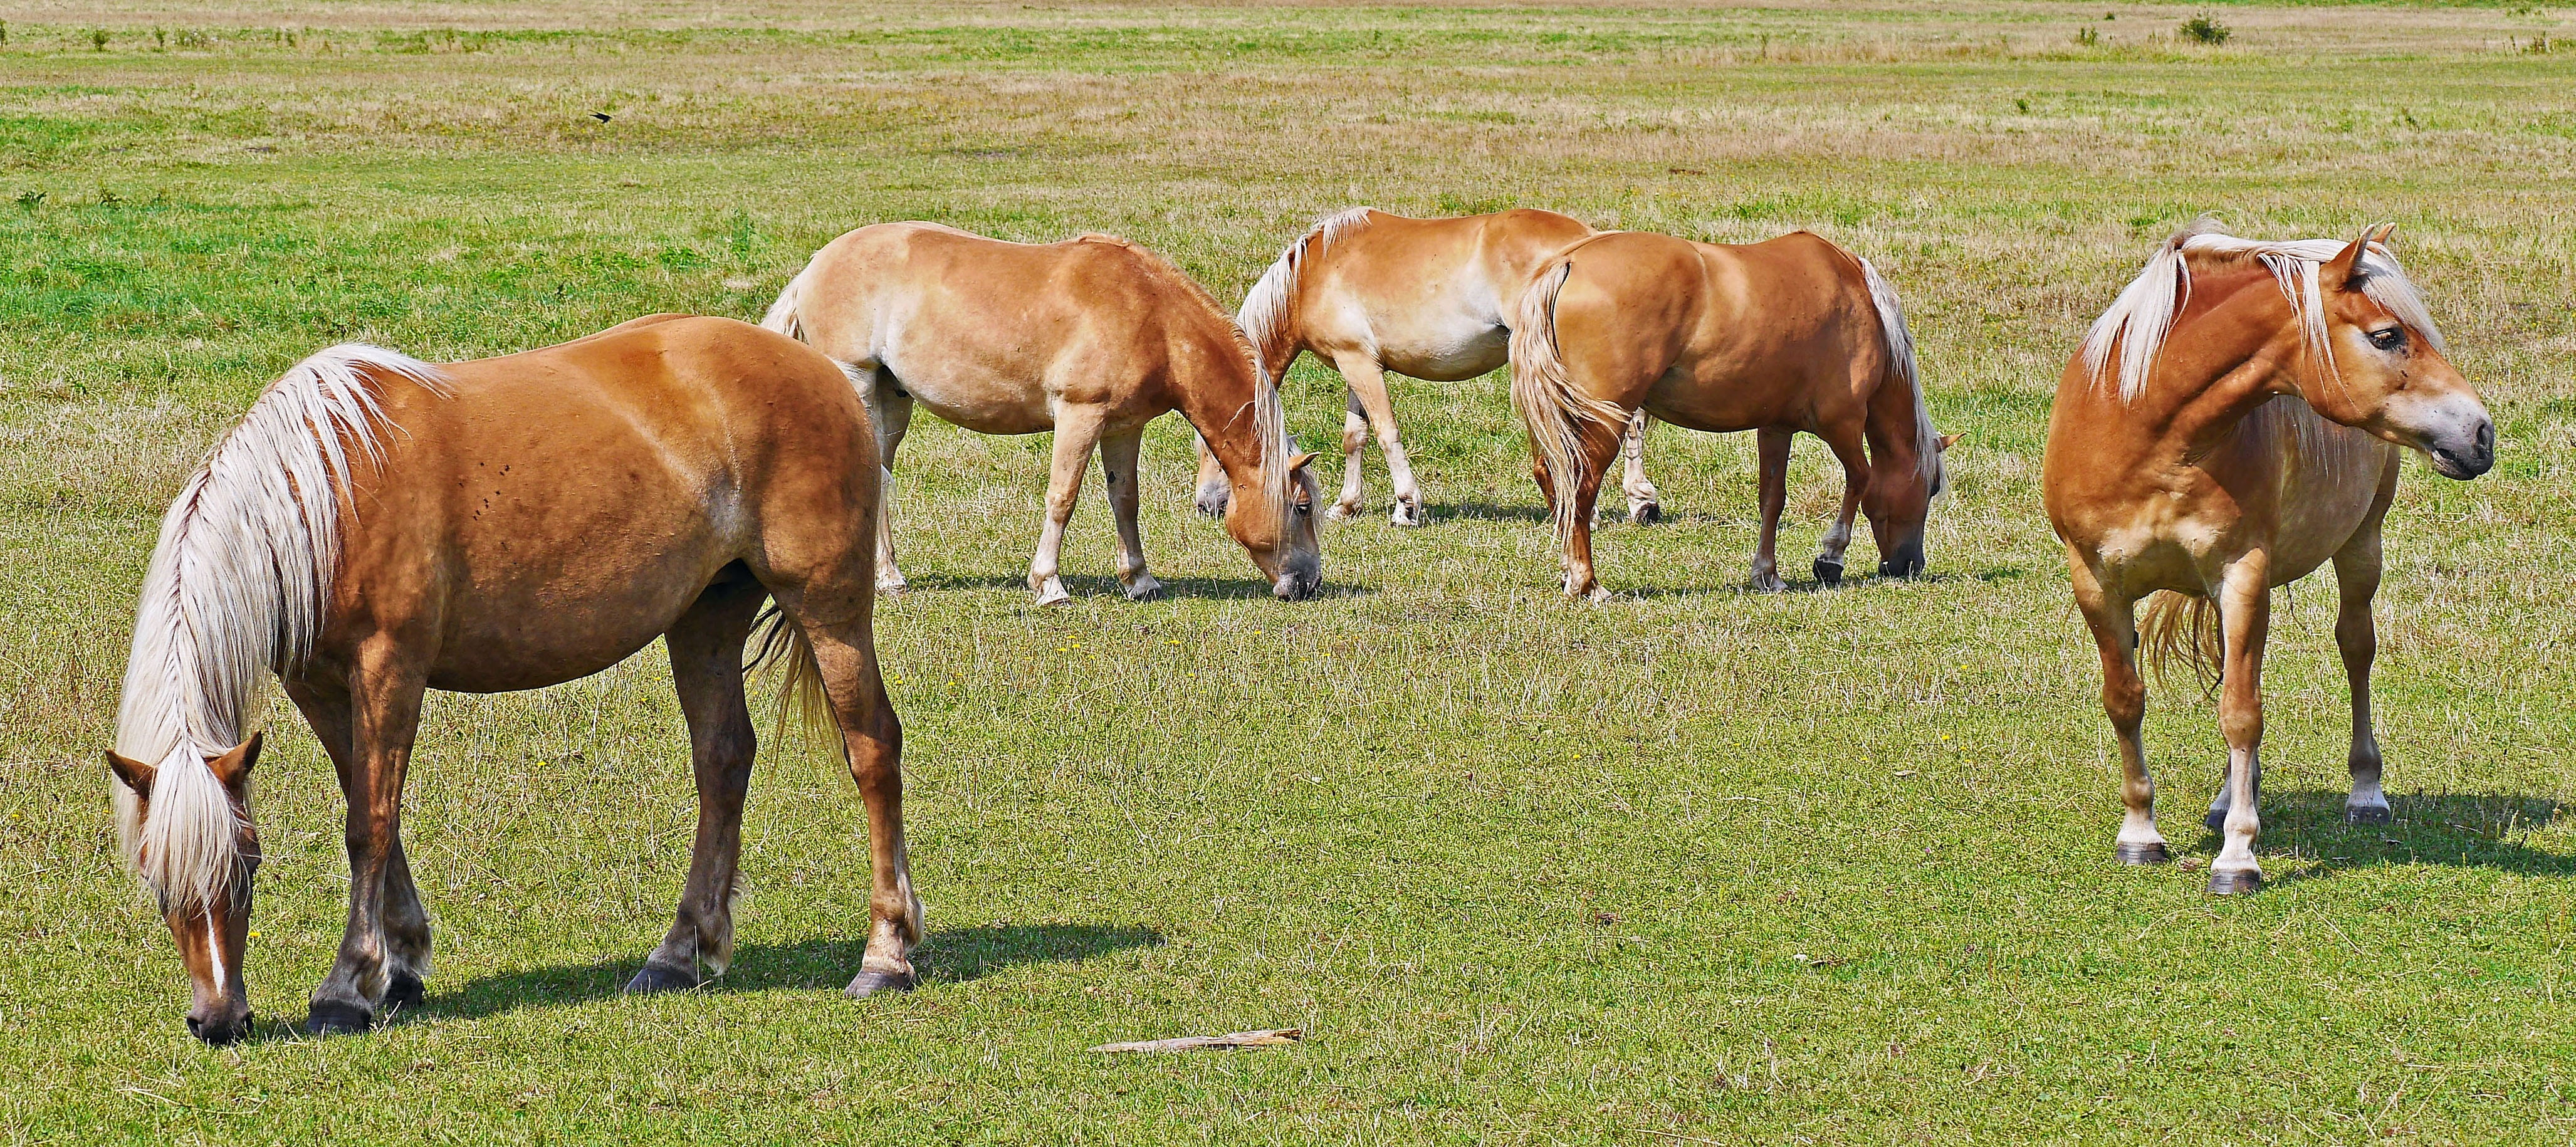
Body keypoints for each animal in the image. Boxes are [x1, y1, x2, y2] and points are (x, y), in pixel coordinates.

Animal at [107, 315, 922, 1045]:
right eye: (155, 879)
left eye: (246, 871)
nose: (218, 1021)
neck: (328, 493)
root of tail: (819, 371)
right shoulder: (318, 687)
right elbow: (370, 810)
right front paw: (401, 968)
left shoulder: (390, 668)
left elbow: (369, 824)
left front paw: (347, 988)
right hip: (706, 617)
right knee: (722, 760)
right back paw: (679, 954)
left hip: (828, 608)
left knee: (872, 748)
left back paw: (885, 955)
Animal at [761, 222, 1324, 605]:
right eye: (1302, 507)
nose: (1308, 584)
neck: (1154, 319)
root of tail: (816, 264)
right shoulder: (1080, 416)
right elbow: (1063, 498)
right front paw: (1049, 584)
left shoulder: (1123, 427)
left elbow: (1125, 500)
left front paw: (1140, 580)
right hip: (856, 380)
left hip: (892, 398)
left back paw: (888, 576)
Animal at [1189, 207, 1661, 527]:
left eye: (1209, 446)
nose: (1205, 505)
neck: (1311, 277)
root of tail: (1587, 243)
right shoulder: (1354, 365)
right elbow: (1355, 438)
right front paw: (1347, 505)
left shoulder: (1360, 364)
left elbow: (1386, 434)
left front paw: (1407, 506)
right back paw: (1640, 501)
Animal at [1509, 229, 1953, 600]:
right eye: (1931, 488)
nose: (1909, 566)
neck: (1860, 304)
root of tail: (1571, 261)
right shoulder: (1842, 424)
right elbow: (1860, 480)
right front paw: (1830, 558)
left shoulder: (1776, 427)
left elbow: (1772, 499)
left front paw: (1767, 574)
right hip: (1606, 421)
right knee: (1581, 490)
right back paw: (1586, 582)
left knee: (1553, 479)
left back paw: (1569, 572)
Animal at [2043, 222, 2494, 895]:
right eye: (2387, 336)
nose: (2481, 433)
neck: (2144, 432)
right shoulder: (2096, 582)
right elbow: (2126, 700)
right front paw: (2141, 834)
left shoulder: (2243, 574)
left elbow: (2241, 713)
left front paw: (2237, 858)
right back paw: (2229, 798)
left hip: (2360, 546)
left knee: (2355, 649)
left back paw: (2363, 794)